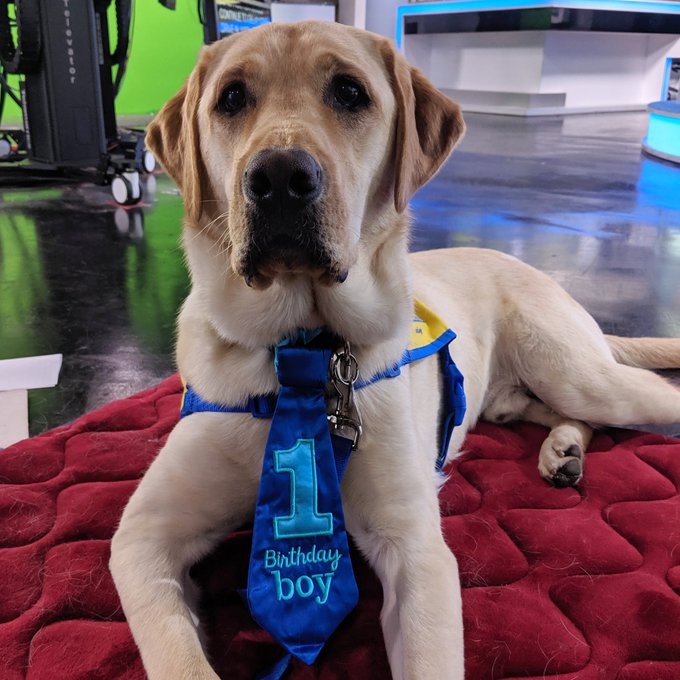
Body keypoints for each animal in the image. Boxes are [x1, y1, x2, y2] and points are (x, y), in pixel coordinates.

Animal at [110, 20, 680, 680]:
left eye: (349, 92)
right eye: (231, 98)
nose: (279, 178)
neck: (302, 351)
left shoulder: (416, 549)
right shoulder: (142, 536)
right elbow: (177, 655)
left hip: (578, 372)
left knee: (640, 397)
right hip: (520, 397)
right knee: (563, 414)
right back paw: (564, 450)